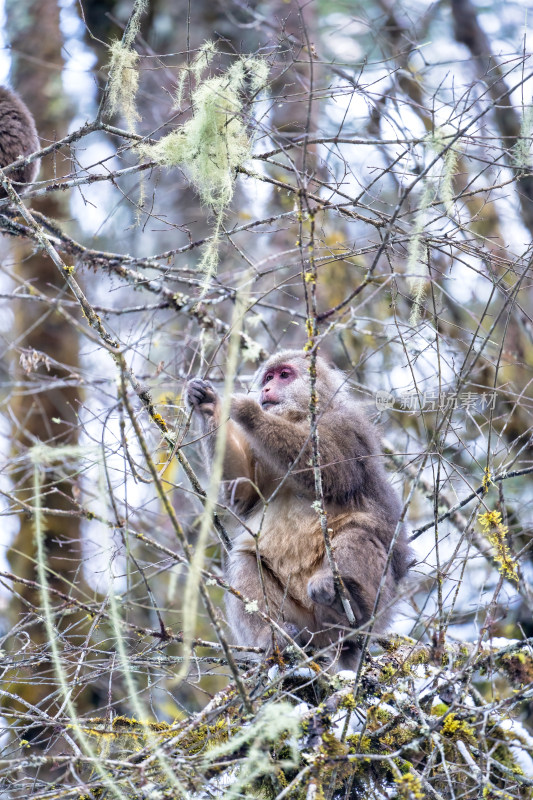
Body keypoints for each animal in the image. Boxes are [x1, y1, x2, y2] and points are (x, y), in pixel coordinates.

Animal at [185, 350, 410, 668]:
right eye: (268, 377)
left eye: (284, 375)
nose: (266, 389)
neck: (301, 417)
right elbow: (243, 494)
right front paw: (208, 405)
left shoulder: (346, 425)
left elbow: (330, 471)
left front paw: (248, 412)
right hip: (299, 617)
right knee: (245, 559)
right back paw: (275, 639)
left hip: (377, 606)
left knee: (359, 534)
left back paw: (345, 600)